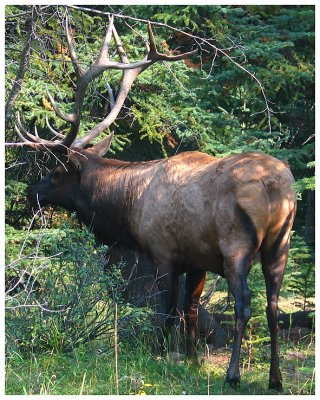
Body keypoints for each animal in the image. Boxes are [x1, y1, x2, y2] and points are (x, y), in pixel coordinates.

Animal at [7, 14, 296, 390]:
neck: (130, 207)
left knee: (245, 304)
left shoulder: (163, 253)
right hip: (280, 244)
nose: (32, 192)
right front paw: (193, 360)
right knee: (273, 305)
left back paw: (233, 375)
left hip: (237, 246)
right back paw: (275, 379)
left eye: (56, 173)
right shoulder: (197, 259)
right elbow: (190, 308)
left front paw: (162, 355)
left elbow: (167, 311)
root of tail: (275, 185)